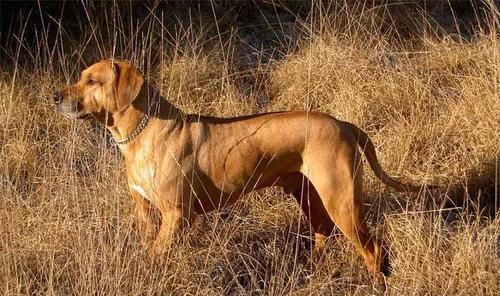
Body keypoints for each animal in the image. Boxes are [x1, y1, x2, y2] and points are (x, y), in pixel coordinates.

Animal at [53, 59, 434, 284]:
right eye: (80, 77)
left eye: (92, 81)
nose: (55, 96)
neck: (140, 131)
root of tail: (343, 123)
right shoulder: (145, 210)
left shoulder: (175, 215)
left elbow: (156, 253)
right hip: (307, 194)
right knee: (323, 232)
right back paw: (310, 271)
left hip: (341, 200)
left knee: (373, 249)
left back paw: (374, 283)